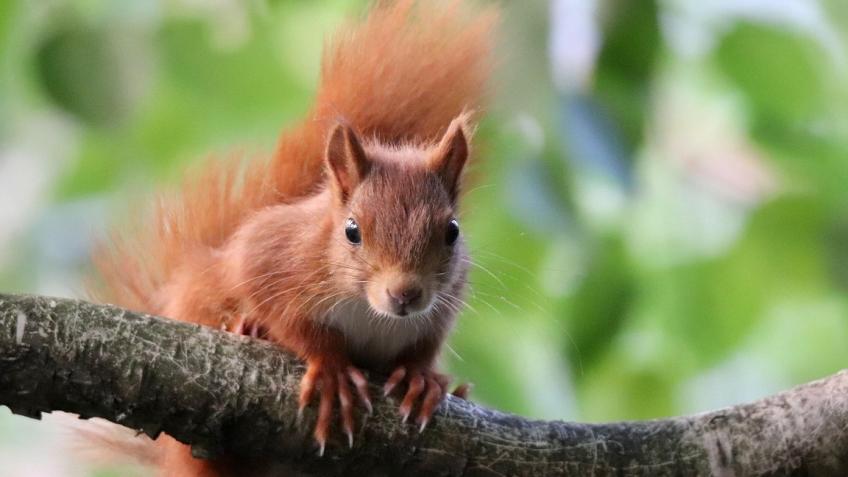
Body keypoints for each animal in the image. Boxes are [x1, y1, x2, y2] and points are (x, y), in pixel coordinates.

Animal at [89, 0, 497, 475]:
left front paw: (419, 376)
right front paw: (330, 367)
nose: (405, 294)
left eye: (452, 231)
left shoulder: (444, 302)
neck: (369, 312)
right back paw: (248, 329)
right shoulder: (271, 254)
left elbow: (426, 344)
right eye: (352, 230)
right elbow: (286, 313)